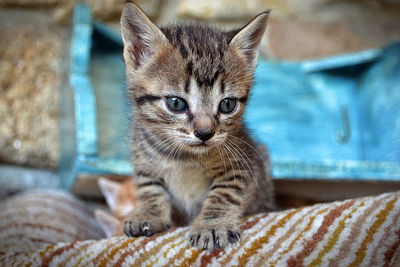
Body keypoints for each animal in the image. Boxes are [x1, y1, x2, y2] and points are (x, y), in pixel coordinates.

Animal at [120, 2, 276, 251]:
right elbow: (149, 186)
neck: (185, 158)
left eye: (227, 104)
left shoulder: (243, 162)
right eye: (176, 103)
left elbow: (224, 193)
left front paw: (211, 225)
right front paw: (148, 214)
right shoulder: (143, 157)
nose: (205, 133)